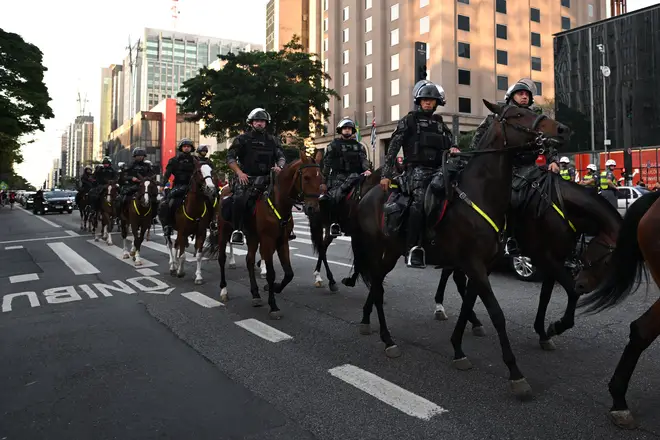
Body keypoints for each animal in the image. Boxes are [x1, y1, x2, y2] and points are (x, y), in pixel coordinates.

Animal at [205, 151, 320, 316]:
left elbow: (289, 273)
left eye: (320, 177)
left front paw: (274, 288)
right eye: (306, 177)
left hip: (252, 236)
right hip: (223, 231)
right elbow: (271, 273)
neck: (278, 202)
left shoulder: (282, 241)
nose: (313, 208)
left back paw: (255, 294)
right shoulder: (267, 240)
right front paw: (273, 305)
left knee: (249, 260)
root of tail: (224, 190)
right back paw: (224, 290)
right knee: (222, 259)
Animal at [348, 101, 568, 400]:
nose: (561, 129)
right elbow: (496, 314)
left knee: (376, 284)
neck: (480, 193)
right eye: (518, 114)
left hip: (389, 253)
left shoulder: (481, 267)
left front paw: (458, 349)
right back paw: (388, 339)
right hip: (382, 251)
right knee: (378, 287)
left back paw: (366, 321)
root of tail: (367, 195)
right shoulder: (474, 265)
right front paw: (515, 373)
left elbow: (467, 305)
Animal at [430, 177, 620, 348]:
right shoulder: (546, 258)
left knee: (455, 277)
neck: (563, 207)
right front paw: (557, 327)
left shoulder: (554, 260)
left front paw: (543, 334)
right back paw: (443, 308)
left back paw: (470, 319)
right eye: (608, 262)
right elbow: (572, 293)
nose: (585, 285)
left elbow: (545, 296)